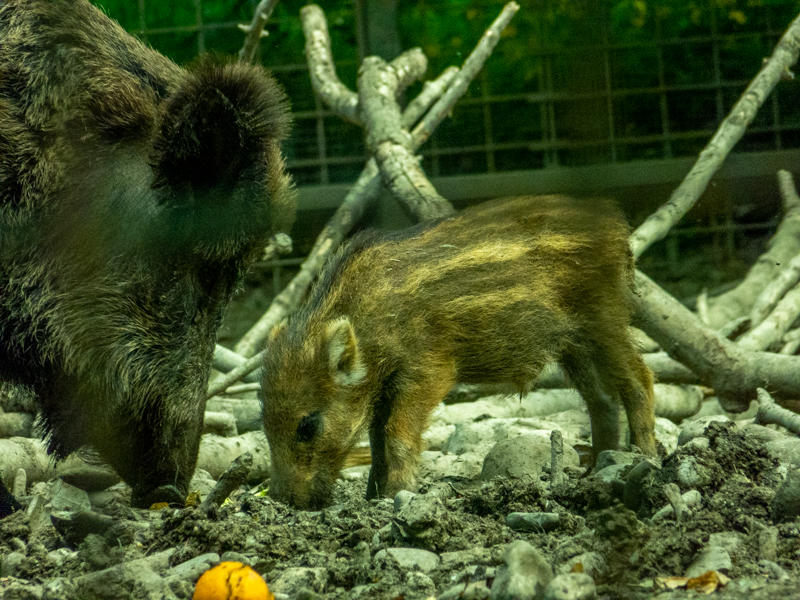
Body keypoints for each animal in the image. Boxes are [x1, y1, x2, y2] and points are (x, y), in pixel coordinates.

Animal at [260, 195, 657, 509]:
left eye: (308, 425)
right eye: (264, 419)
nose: (283, 500)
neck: (369, 322)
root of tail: (616, 225)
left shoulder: (428, 369)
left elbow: (396, 436)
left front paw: (395, 496)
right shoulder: (381, 387)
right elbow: (375, 441)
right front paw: (374, 496)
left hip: (604, 319)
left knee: (640, 379)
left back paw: (645, 457)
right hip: (574, 343)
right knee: (601, 399)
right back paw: (592, 471)